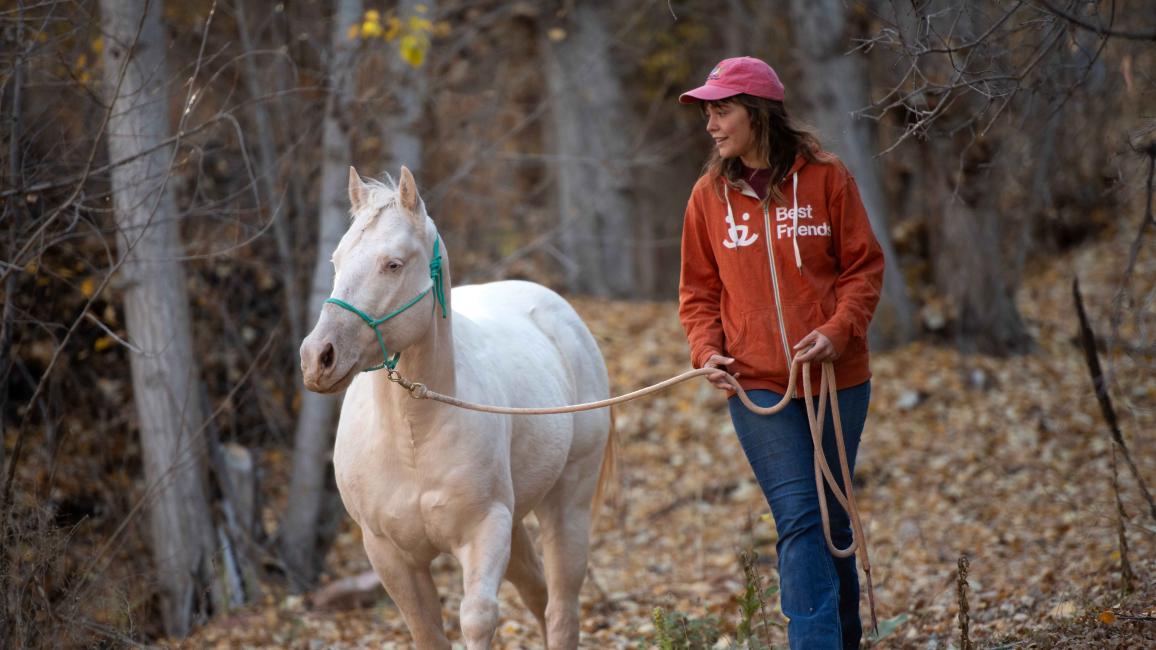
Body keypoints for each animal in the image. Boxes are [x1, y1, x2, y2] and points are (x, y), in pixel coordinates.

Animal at [299, 166, 615, 649]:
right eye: (336, 261)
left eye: (393, 264)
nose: (318, 357)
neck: (412, 436)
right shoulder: (389, 553)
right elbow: (427, 629)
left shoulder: (485, 531)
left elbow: (478, 618)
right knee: (537, 592)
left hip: (567, 505)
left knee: (560, 607)